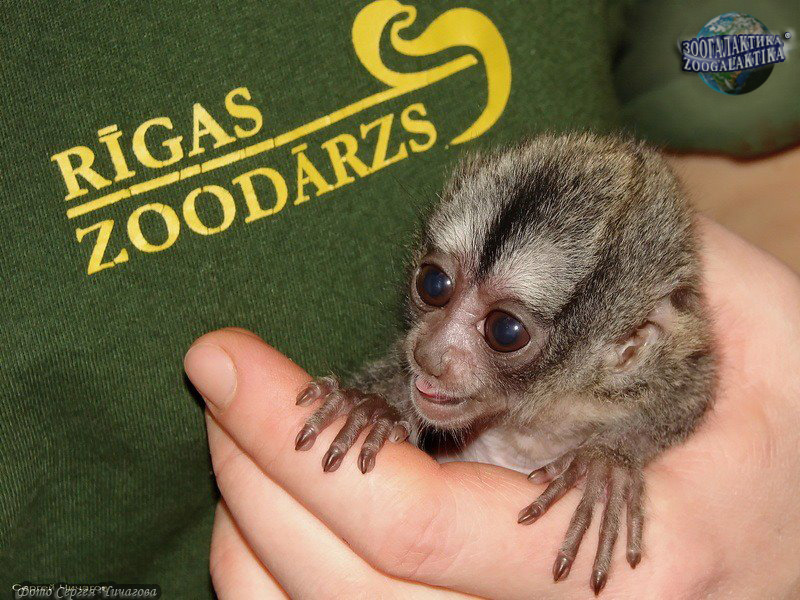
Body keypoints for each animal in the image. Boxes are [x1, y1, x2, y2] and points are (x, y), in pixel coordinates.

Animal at [292, 131, 715, 595]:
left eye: (505, 331)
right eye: (433, 284)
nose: (429, 354)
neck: (538, 416)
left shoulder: (664, 368)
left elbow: (692, 396)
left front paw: (607, 464)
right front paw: (376, 406)